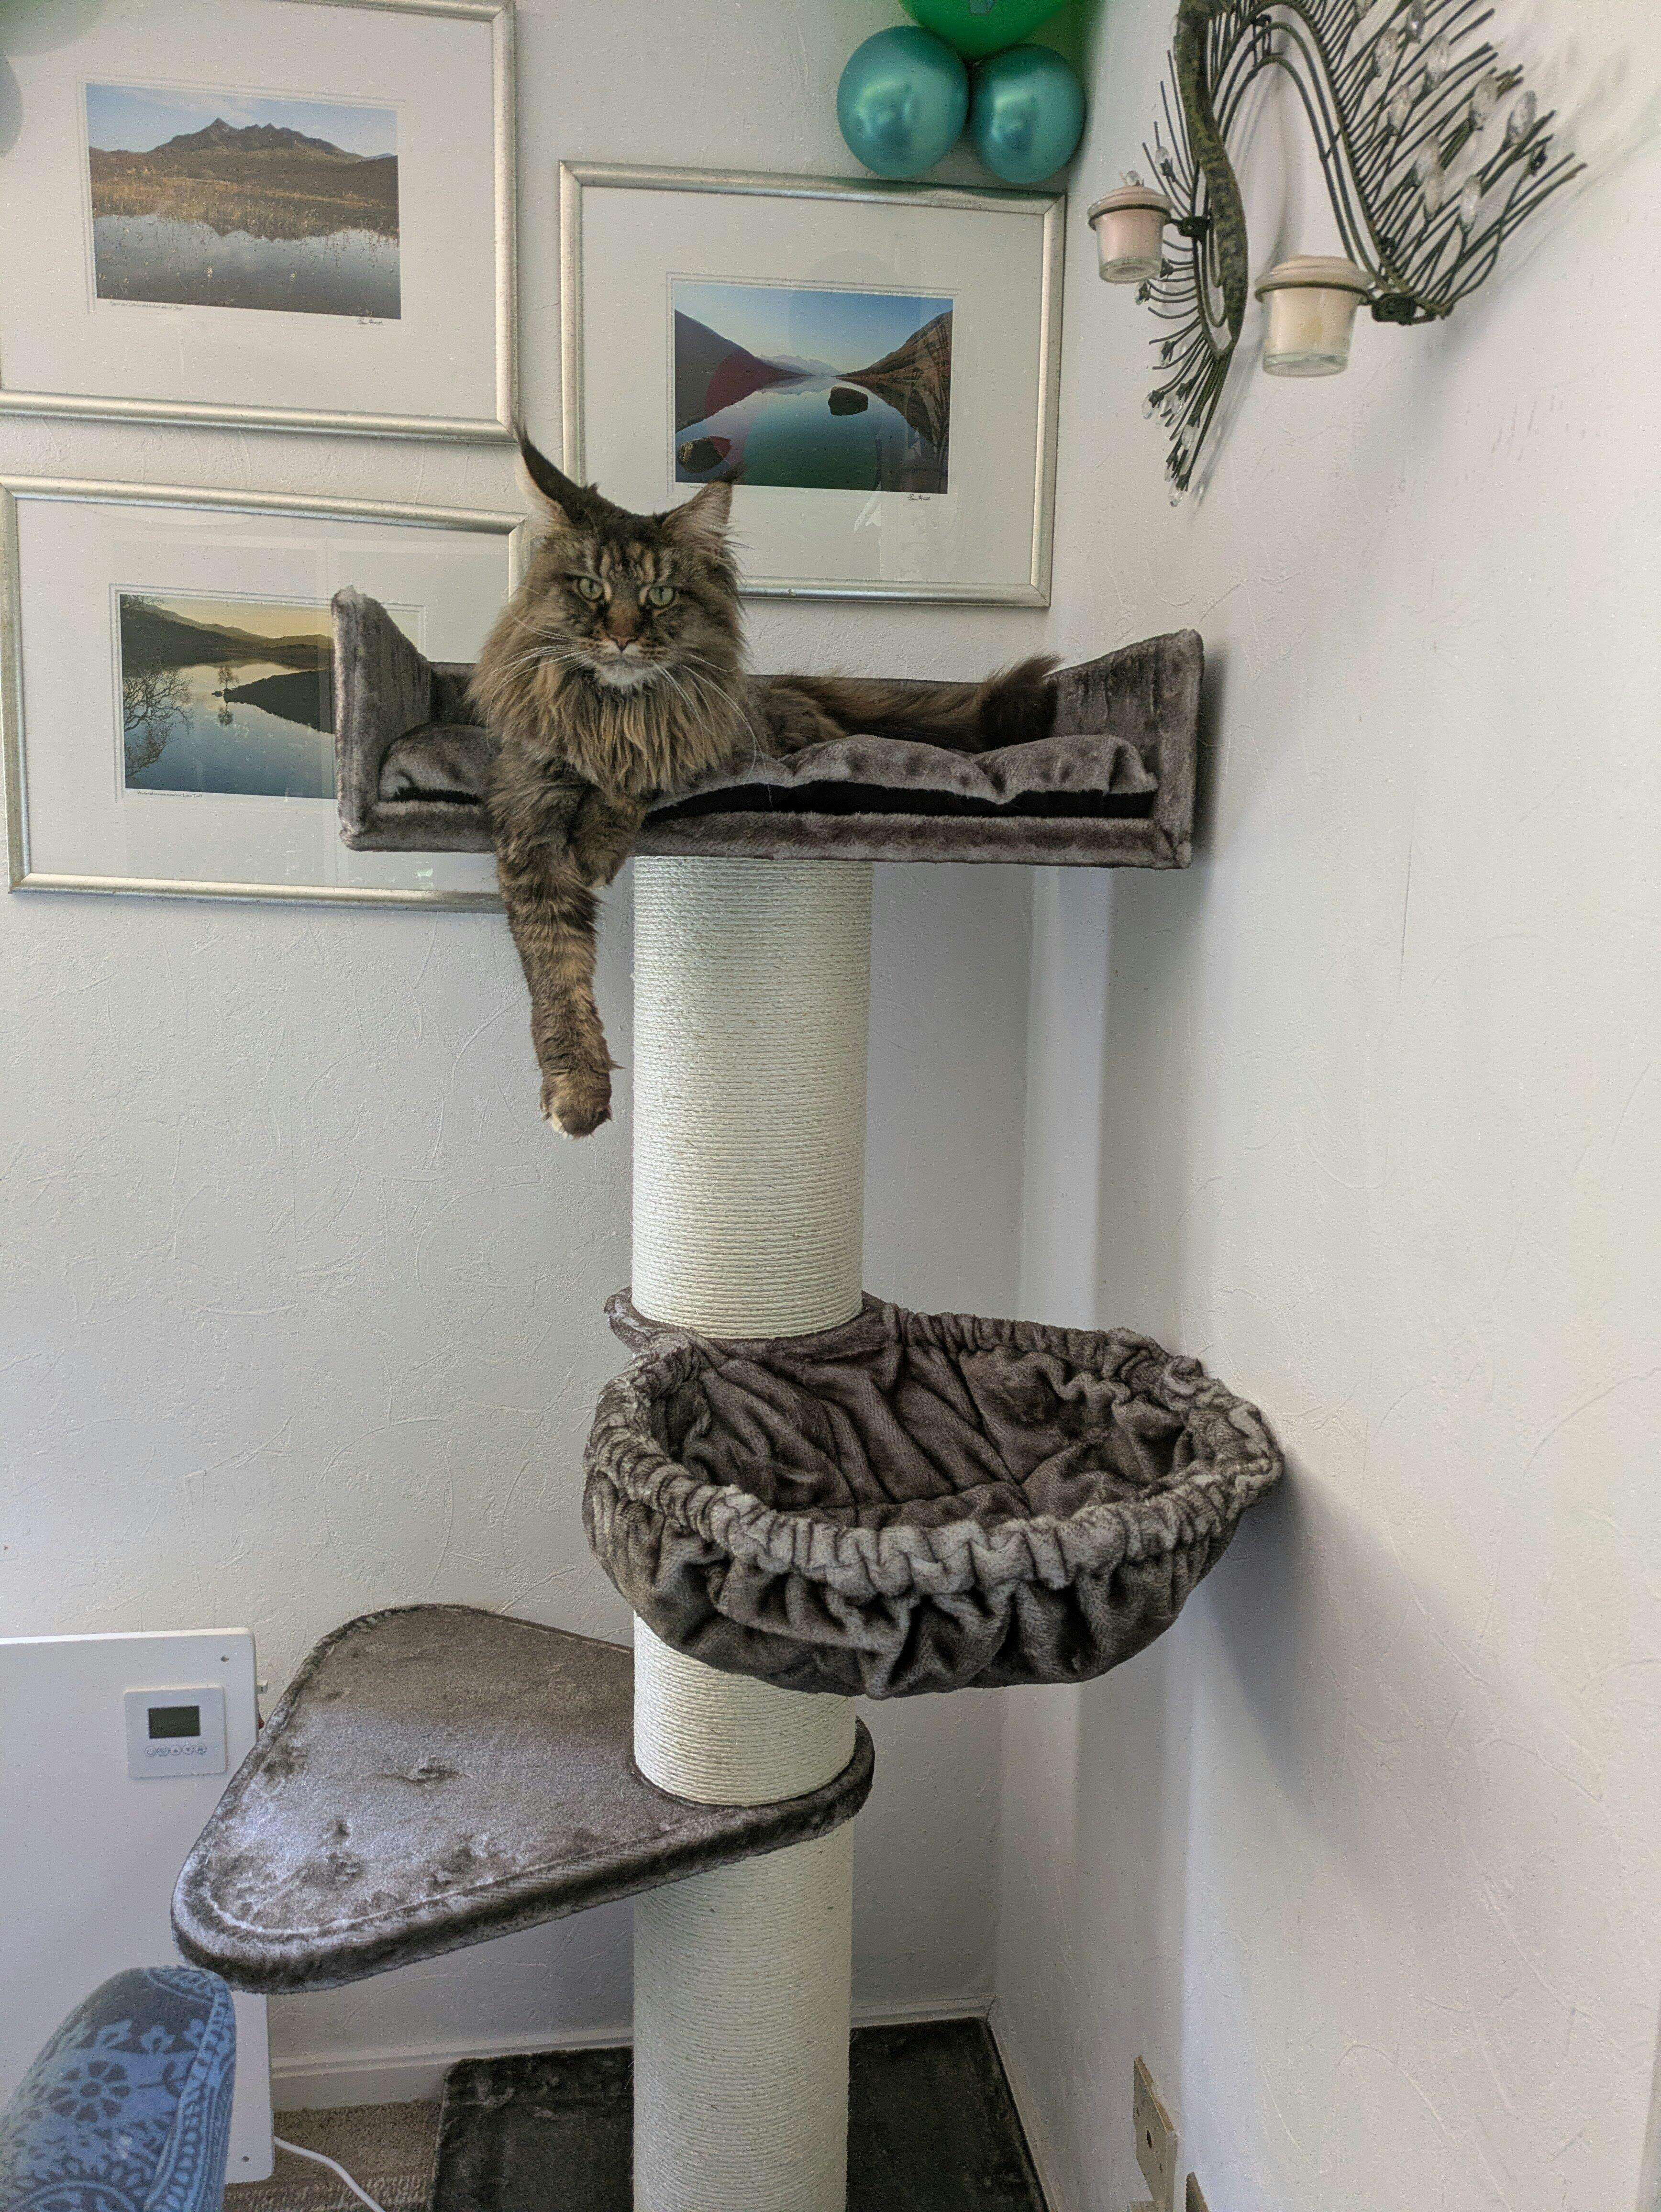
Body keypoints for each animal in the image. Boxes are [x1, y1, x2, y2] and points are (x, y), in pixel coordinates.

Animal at [471, 434, 1055, 1138]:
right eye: (589, 588)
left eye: (661, 596)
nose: (621, 637)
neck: (616, 715)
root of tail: (790, 687)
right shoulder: (526, 814)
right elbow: (555, 967)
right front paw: (576, 1092)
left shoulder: (706, 743)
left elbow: (638, 779)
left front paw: (596, 845)